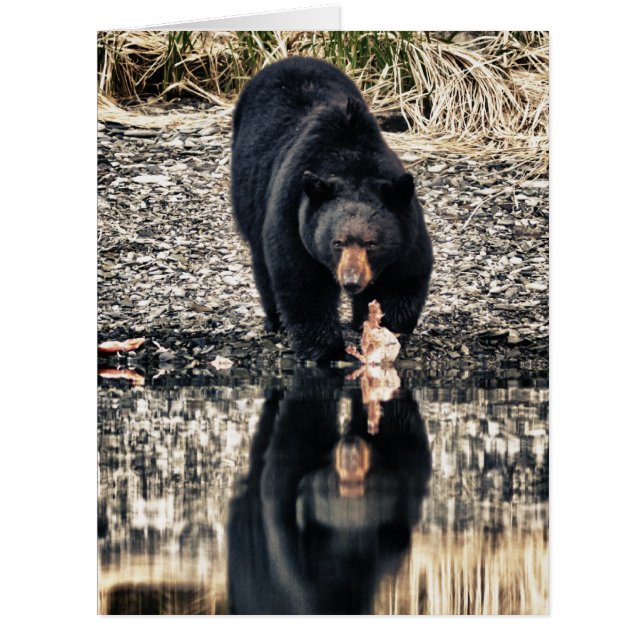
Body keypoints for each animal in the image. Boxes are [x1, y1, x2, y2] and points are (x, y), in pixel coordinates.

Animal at [230, 56, 433, 361]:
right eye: (336, 243)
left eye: (372, 243)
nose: (351, 281)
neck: (351, 160)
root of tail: (291, 59)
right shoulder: (294, 213)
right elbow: (303, 285)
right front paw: (327, 351)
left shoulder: (407, 224)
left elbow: (403, 279)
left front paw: (385, 335)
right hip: (249, 193)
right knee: (261, 258)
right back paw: (275, 320)